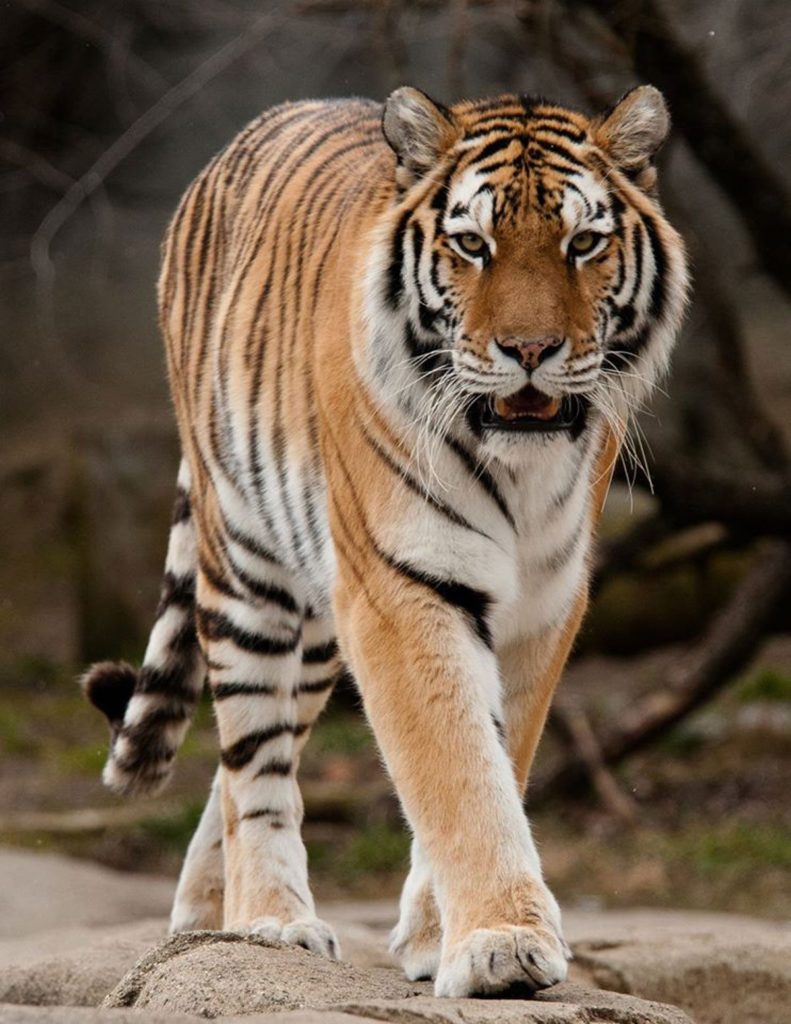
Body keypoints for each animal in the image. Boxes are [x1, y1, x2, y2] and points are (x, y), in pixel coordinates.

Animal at [81, 84, 688, 997]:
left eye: (583, 243)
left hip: (322, 619)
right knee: (254, 763)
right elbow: (456, 768)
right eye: (472, 245)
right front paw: (501, 945)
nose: (531, 351)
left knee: (241, 760)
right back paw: (267, 921)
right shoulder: (403, 589)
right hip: (251, 572)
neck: (521, 469)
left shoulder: (544, 601)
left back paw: (202, 917)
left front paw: (442, 935)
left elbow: (496, 758)